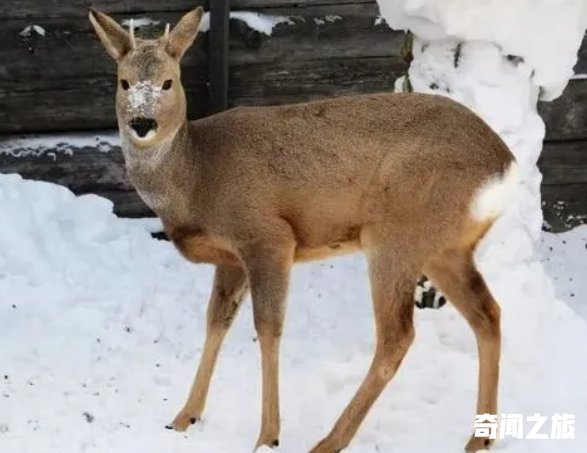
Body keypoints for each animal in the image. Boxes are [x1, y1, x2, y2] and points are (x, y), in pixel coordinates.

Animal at [90, 7, 520, 452]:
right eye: (124, 82)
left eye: (168, 82)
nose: (142, 122)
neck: (198, 177)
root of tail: (504, 167)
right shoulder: (230, 259)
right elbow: (215, 321)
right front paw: (183, 417)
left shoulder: (268, 236)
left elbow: (268, 329)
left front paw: (267, 436)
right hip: (445, 247)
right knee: (487, 314)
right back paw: (479, 438)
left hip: (395, 233)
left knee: (397, 335)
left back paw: (329, 440)